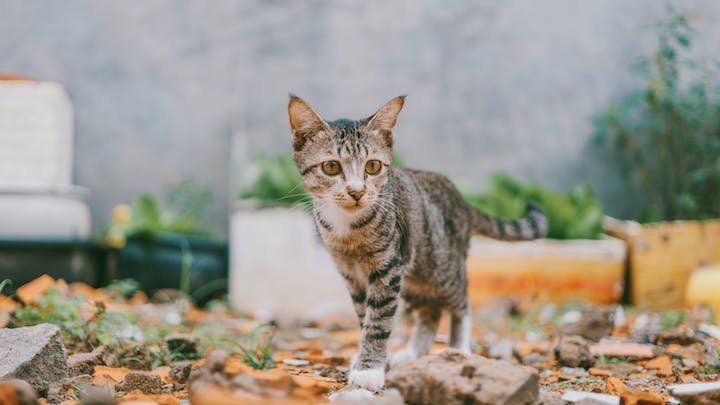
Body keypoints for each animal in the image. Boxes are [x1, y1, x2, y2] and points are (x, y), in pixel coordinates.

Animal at [286, 94, 544, 392]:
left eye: (373, 166)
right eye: (331, 167)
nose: (357, 191)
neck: (348, 230)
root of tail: (462, 201)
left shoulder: (388, 269)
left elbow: (379, 322)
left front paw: (369, 370)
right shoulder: (352, 275)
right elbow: (365, 318)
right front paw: (368, 359)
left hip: (441, 268)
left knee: (461, 302)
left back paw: (460, 349)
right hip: (414, 277)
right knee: (430, 313)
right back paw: (412, 354)